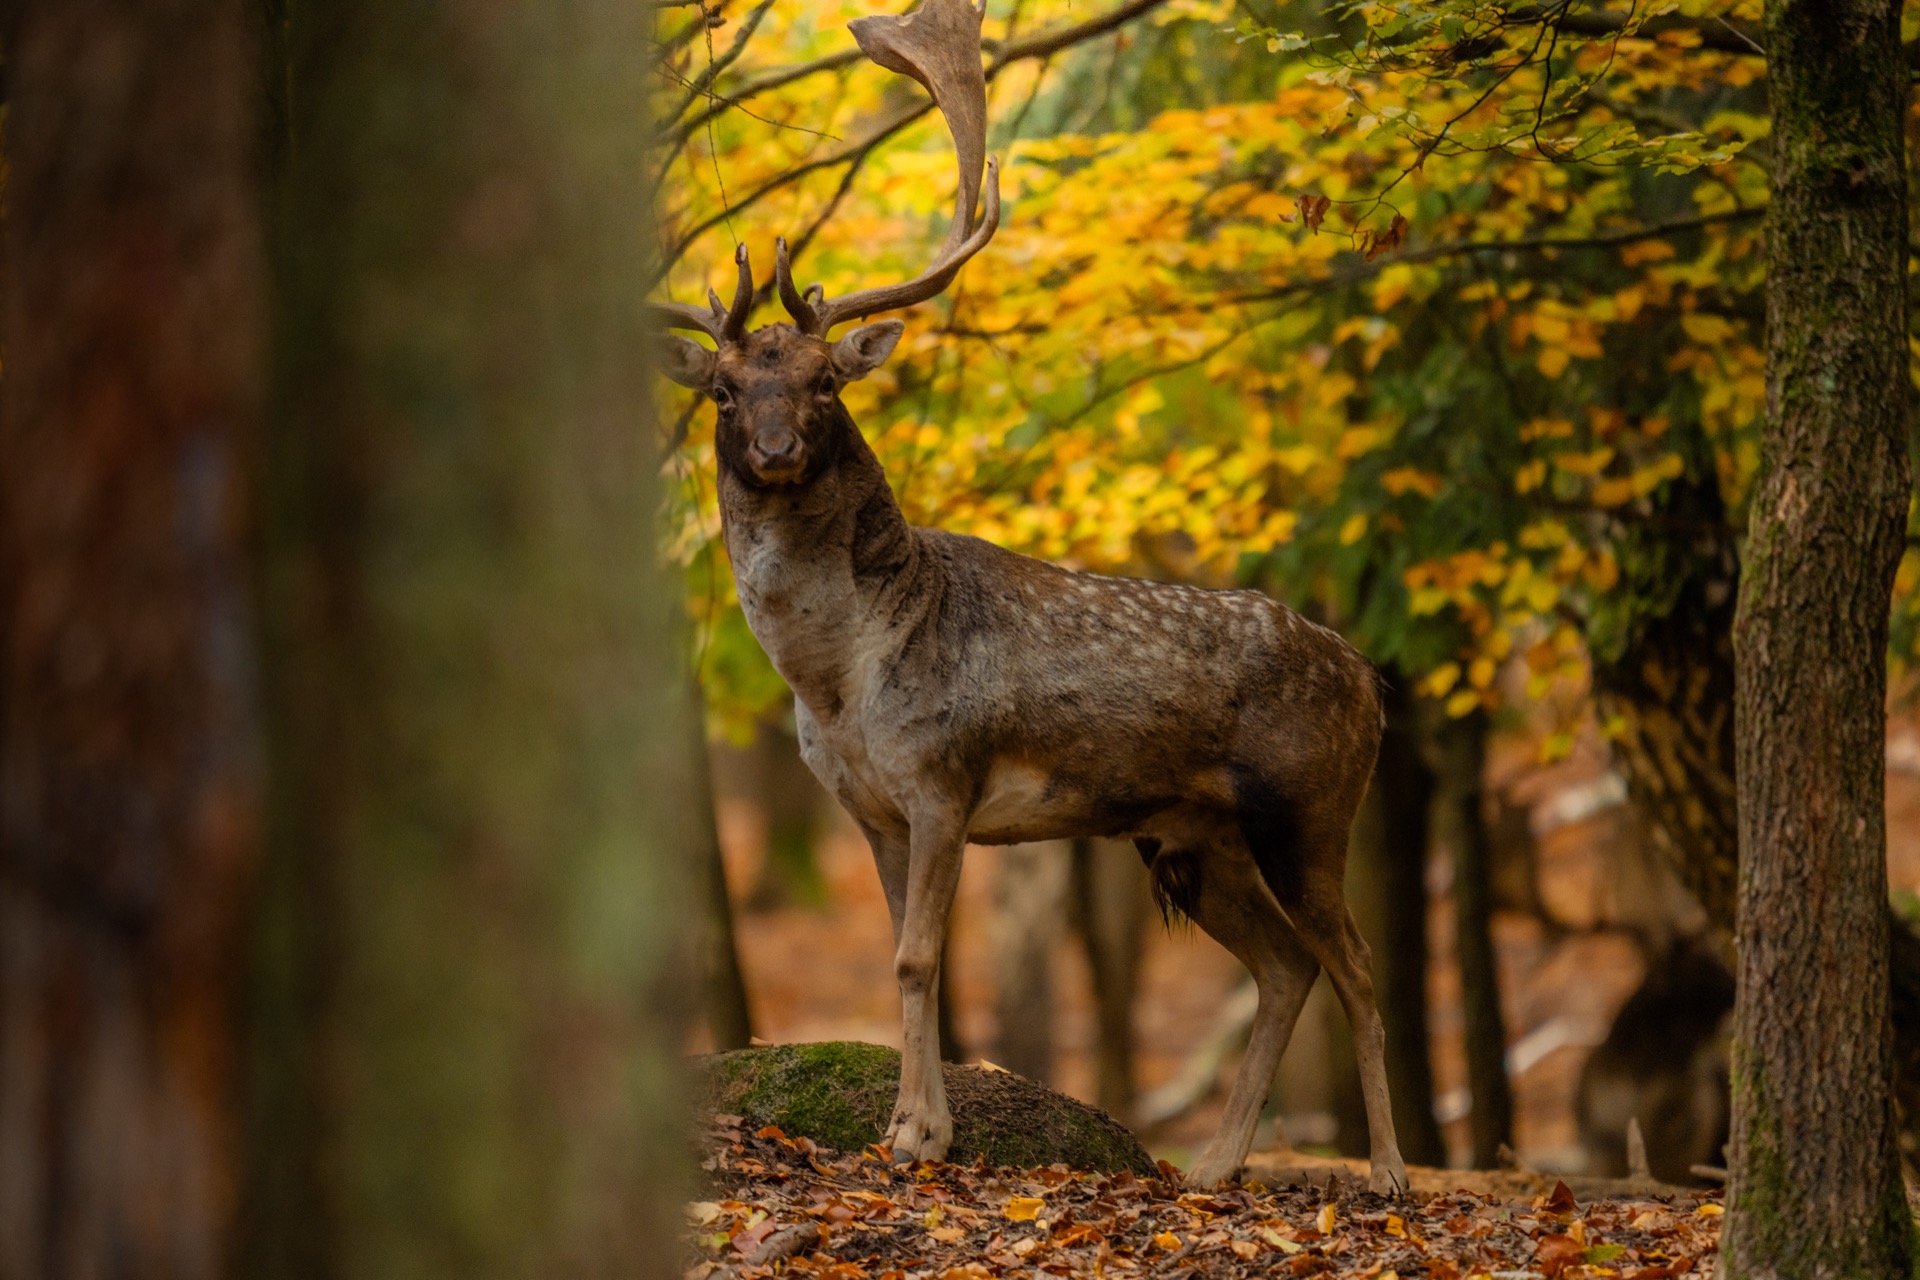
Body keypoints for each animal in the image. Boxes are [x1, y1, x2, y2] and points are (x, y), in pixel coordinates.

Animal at [652, 0, 1406, 1194]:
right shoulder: (868, 803)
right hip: (1190, 832)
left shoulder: (944, 775)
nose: (773, 449)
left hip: (1310, 803)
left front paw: (921, 1136)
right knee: (1286, 965)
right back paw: (1214, 1165)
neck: (836, 683)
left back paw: (1386, 1172)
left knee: (1358, 966)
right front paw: (911, 1126)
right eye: (725, 390)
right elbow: (899, 952)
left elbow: (919, 956)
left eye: (825, 380)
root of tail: (1372, 680)